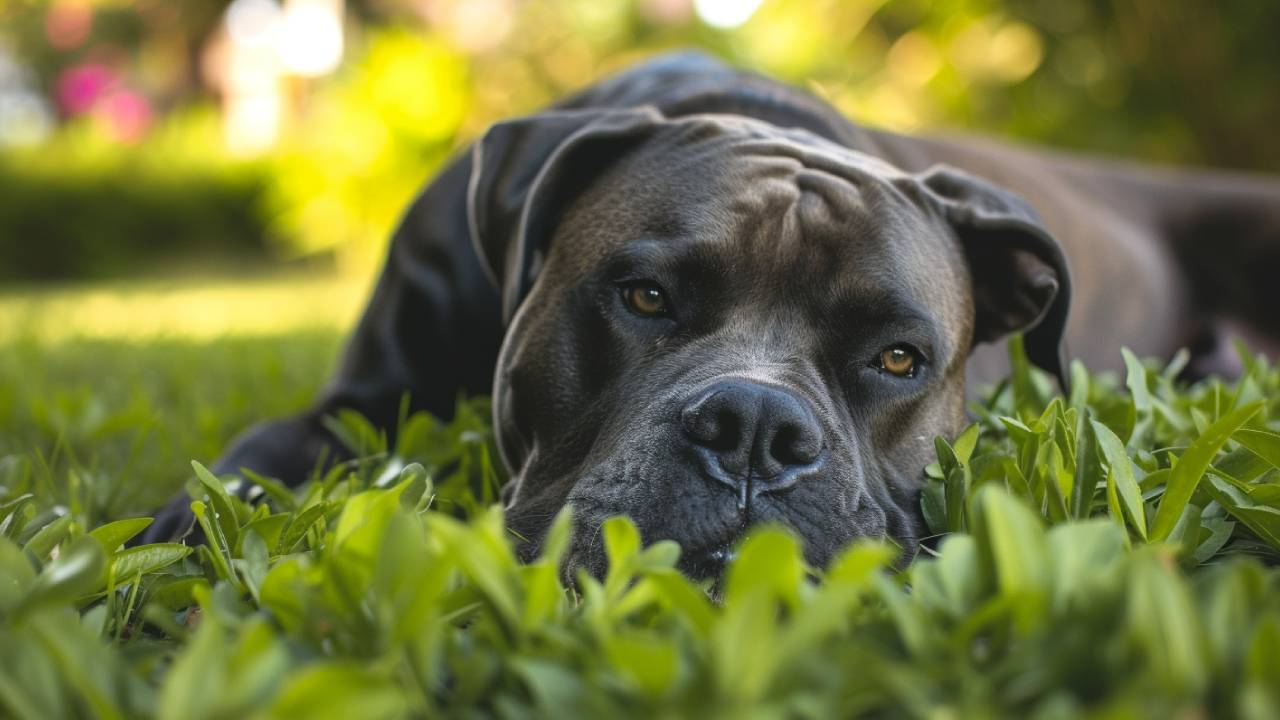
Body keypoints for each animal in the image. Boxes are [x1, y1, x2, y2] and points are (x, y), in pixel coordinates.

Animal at [140, 51, 1280, 576]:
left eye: (897, 359)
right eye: (645, 298)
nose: (755, 430)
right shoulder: (359, 403)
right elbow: (262, 451)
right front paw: (182, 527)